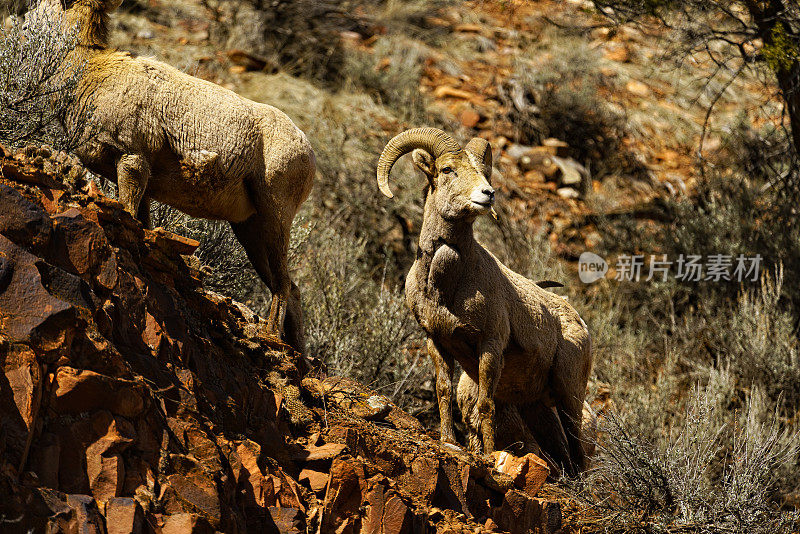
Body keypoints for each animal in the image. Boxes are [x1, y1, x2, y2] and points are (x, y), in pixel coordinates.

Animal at [34, 0, 316, 350]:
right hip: (249, 229)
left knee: (282, 285)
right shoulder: (142, 181)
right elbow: (140, 222)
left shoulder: (132, 159)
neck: (92, 72)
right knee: (292, 289)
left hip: (274, 216)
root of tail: (306, 148)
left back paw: (271, 337)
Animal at [378, 127, 592, 476]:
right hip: (536, 407)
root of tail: (580, 324)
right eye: (447, 169)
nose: (487, 194)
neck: (446, 285)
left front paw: (490, 456)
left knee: (578, 449)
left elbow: (485, 406)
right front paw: (449, 441)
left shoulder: (489, 346)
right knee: (561, 453)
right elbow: (443, 390)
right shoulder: (436, 341)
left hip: (569, 395)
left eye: (484, 171)